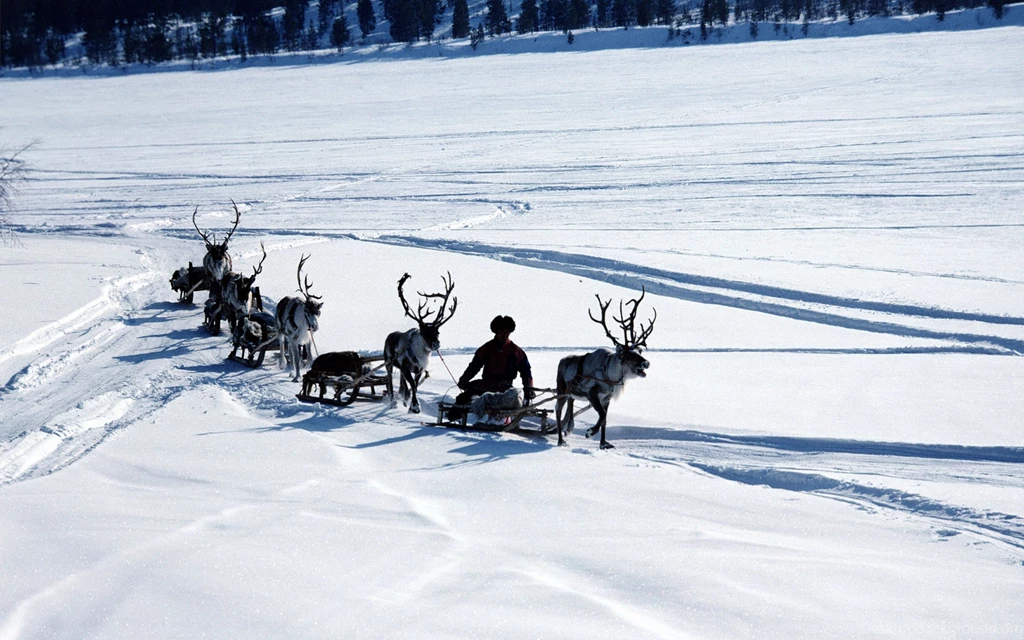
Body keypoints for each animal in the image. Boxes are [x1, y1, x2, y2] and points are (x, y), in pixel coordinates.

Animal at [384, 272, 457, 414]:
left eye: (437, 332)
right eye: (424, 333)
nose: (436, 344)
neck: (420, 354)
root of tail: (389, 336)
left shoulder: (420, 370)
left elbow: (415, 386)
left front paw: (410, 404)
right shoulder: (406, 367)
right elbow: (412, 384)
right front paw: (415, 407)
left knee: (401, 381)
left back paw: (403, 397)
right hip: (388, 362)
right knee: (389, 379)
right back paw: (393, 401)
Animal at [555, 287, 656, 450]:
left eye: (639, 351)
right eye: (628, 355)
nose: (646, 363)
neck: (610, 375)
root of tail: (562, 361)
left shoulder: (607, 398)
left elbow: (605, 419)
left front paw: (603, 444)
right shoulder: (592, 393)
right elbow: (602, 415)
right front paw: (590, 432)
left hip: (571, 391)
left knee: (571, 402)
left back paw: (569, 428)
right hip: (561, 388)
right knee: (558, 410)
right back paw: (560, 440)